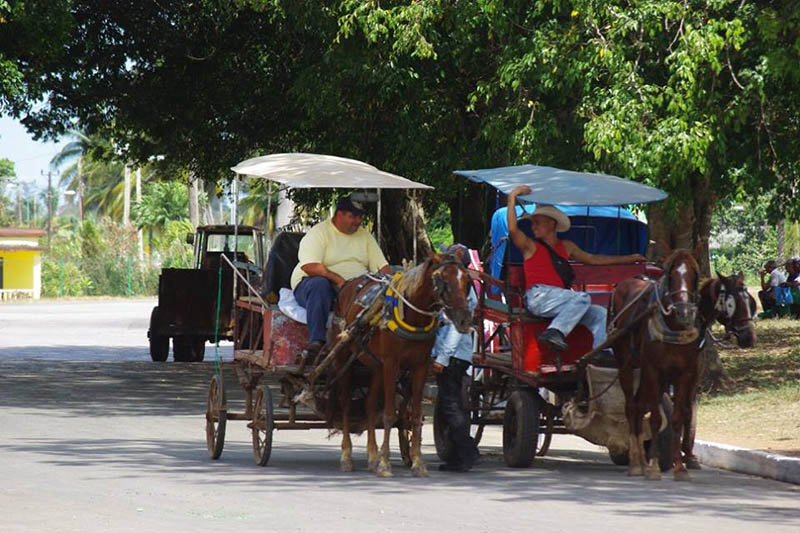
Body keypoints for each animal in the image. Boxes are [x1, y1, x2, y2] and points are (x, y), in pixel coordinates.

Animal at [330, 251, 472, 476]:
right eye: (442, 280)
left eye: (467, 281)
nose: (464, 320)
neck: (413, 316)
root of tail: (347, 284)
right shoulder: (391, 364)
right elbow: (389, 414)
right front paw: (385, 463)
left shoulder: (420, 366)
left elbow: (415, 415)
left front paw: (417, 463)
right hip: (344, 357)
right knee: (345, 403)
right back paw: (346, 456)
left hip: (375, 367)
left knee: (370, 405)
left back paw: (372, 455)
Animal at [608, 247, 704, 480]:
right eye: (671, 275)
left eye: (694, 275)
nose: (684, 311)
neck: (673, 327)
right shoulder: (654, 370)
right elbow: (656, 419)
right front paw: (653, 466)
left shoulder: (685, 373)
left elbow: (677, 417)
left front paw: (679, 467)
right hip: (626, 364)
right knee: (631, 407)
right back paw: (636, 463)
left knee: (639, 406)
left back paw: (641, 460)